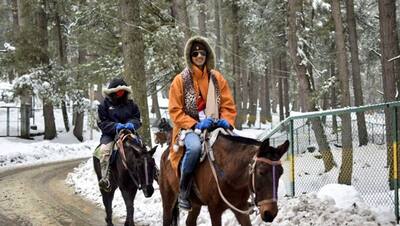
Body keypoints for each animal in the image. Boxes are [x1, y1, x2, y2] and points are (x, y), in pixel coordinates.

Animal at [159, 132, 288, 226]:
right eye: (261, 172)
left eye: (281, 172)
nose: (270, 213)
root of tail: (166, 154)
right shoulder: (214, 210)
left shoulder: (240, 208)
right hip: (168, 197)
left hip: (195, 203)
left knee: (190, 221)